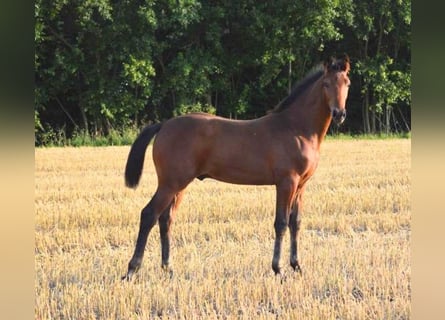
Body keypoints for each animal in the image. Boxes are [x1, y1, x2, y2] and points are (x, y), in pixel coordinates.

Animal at [122, 55, 350, 280]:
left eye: (347, 83)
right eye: (326, 83)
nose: (339, 114)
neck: (296, 129)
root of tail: (164, 125)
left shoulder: (301, 185)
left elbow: (296, 223)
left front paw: (297, 266)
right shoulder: (286, 182)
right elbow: (281, 223)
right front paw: (279, 269)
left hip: (179, 185)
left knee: (166, 219)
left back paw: (168, 268)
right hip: (170, 184)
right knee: (149, 215)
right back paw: (132, 270)